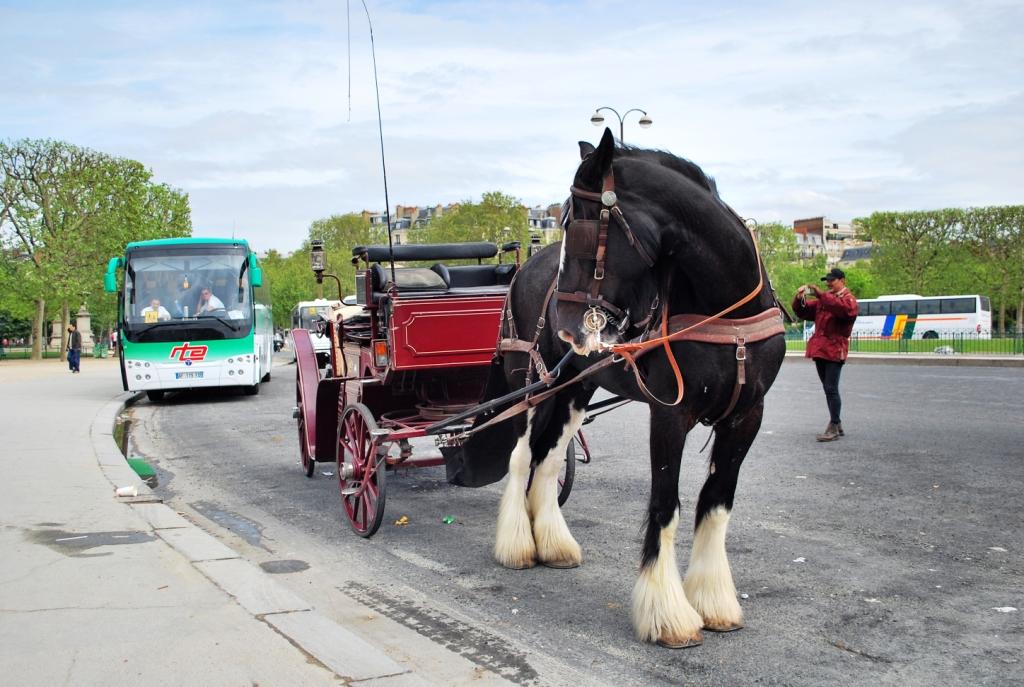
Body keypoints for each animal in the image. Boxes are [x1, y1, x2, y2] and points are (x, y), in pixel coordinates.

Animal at [448, 130, 782, 651]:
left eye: (576, 224)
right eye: (562, 222)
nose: (568, 325)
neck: (726, 310)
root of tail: (523, 270)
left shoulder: (747, 415)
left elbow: (716, 502)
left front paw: (712, 601)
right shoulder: (670, 413)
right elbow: (665, 505)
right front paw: (668, 613)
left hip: (572, 388)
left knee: (547, 460)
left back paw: (552, 543)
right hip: (531, 385)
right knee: (521, 457)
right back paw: (518, 544)